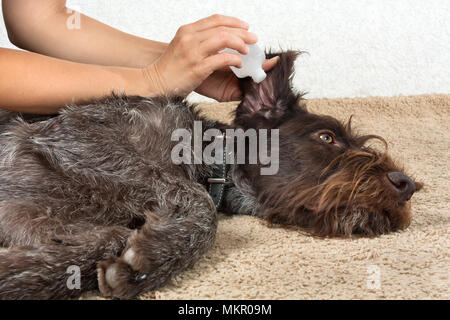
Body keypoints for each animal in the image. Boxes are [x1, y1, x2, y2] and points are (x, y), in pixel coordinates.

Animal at [0, 51, 422, 298]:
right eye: (327, 137)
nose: (407, 185)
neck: (209, 157)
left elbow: (108, 238)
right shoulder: (71, 141)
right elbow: (193, 200)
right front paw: (151, 258)